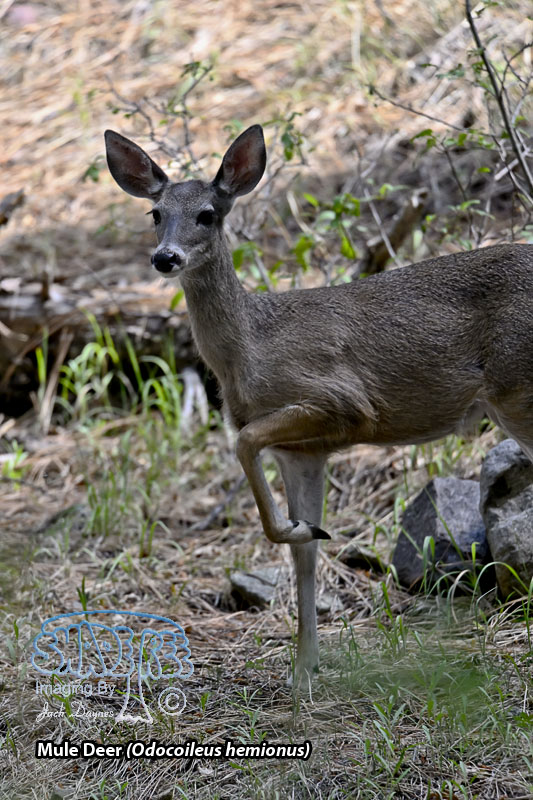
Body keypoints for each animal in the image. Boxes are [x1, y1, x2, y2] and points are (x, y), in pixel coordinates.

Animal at [105, 124, 533, 685]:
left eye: (208, 214)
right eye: (155, 213)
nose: (165, 258)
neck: (249, 351)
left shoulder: (342, 402)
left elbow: (245, 445)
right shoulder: (303, 452)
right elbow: (303, 555)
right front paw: (304, 666)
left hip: (516, 389)